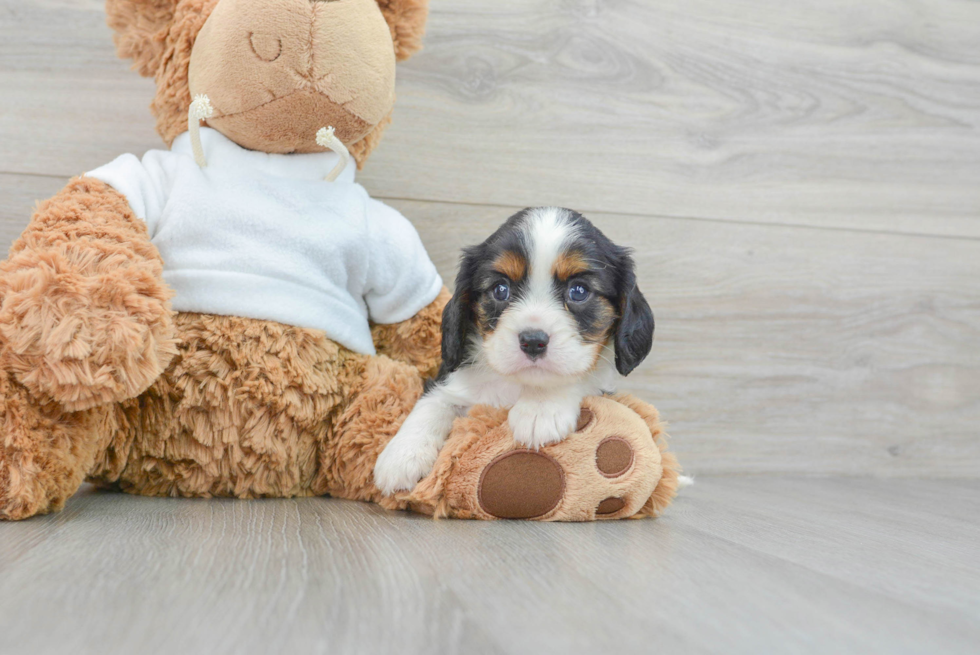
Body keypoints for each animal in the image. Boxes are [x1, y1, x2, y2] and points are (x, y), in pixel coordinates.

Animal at [372, 208, 656, 494]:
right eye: (500, 289)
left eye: (579, 291)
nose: (533, 341)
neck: (517, 384)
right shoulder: (452, 380)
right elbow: (433, 403)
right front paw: (402, 455)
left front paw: (540, 410)